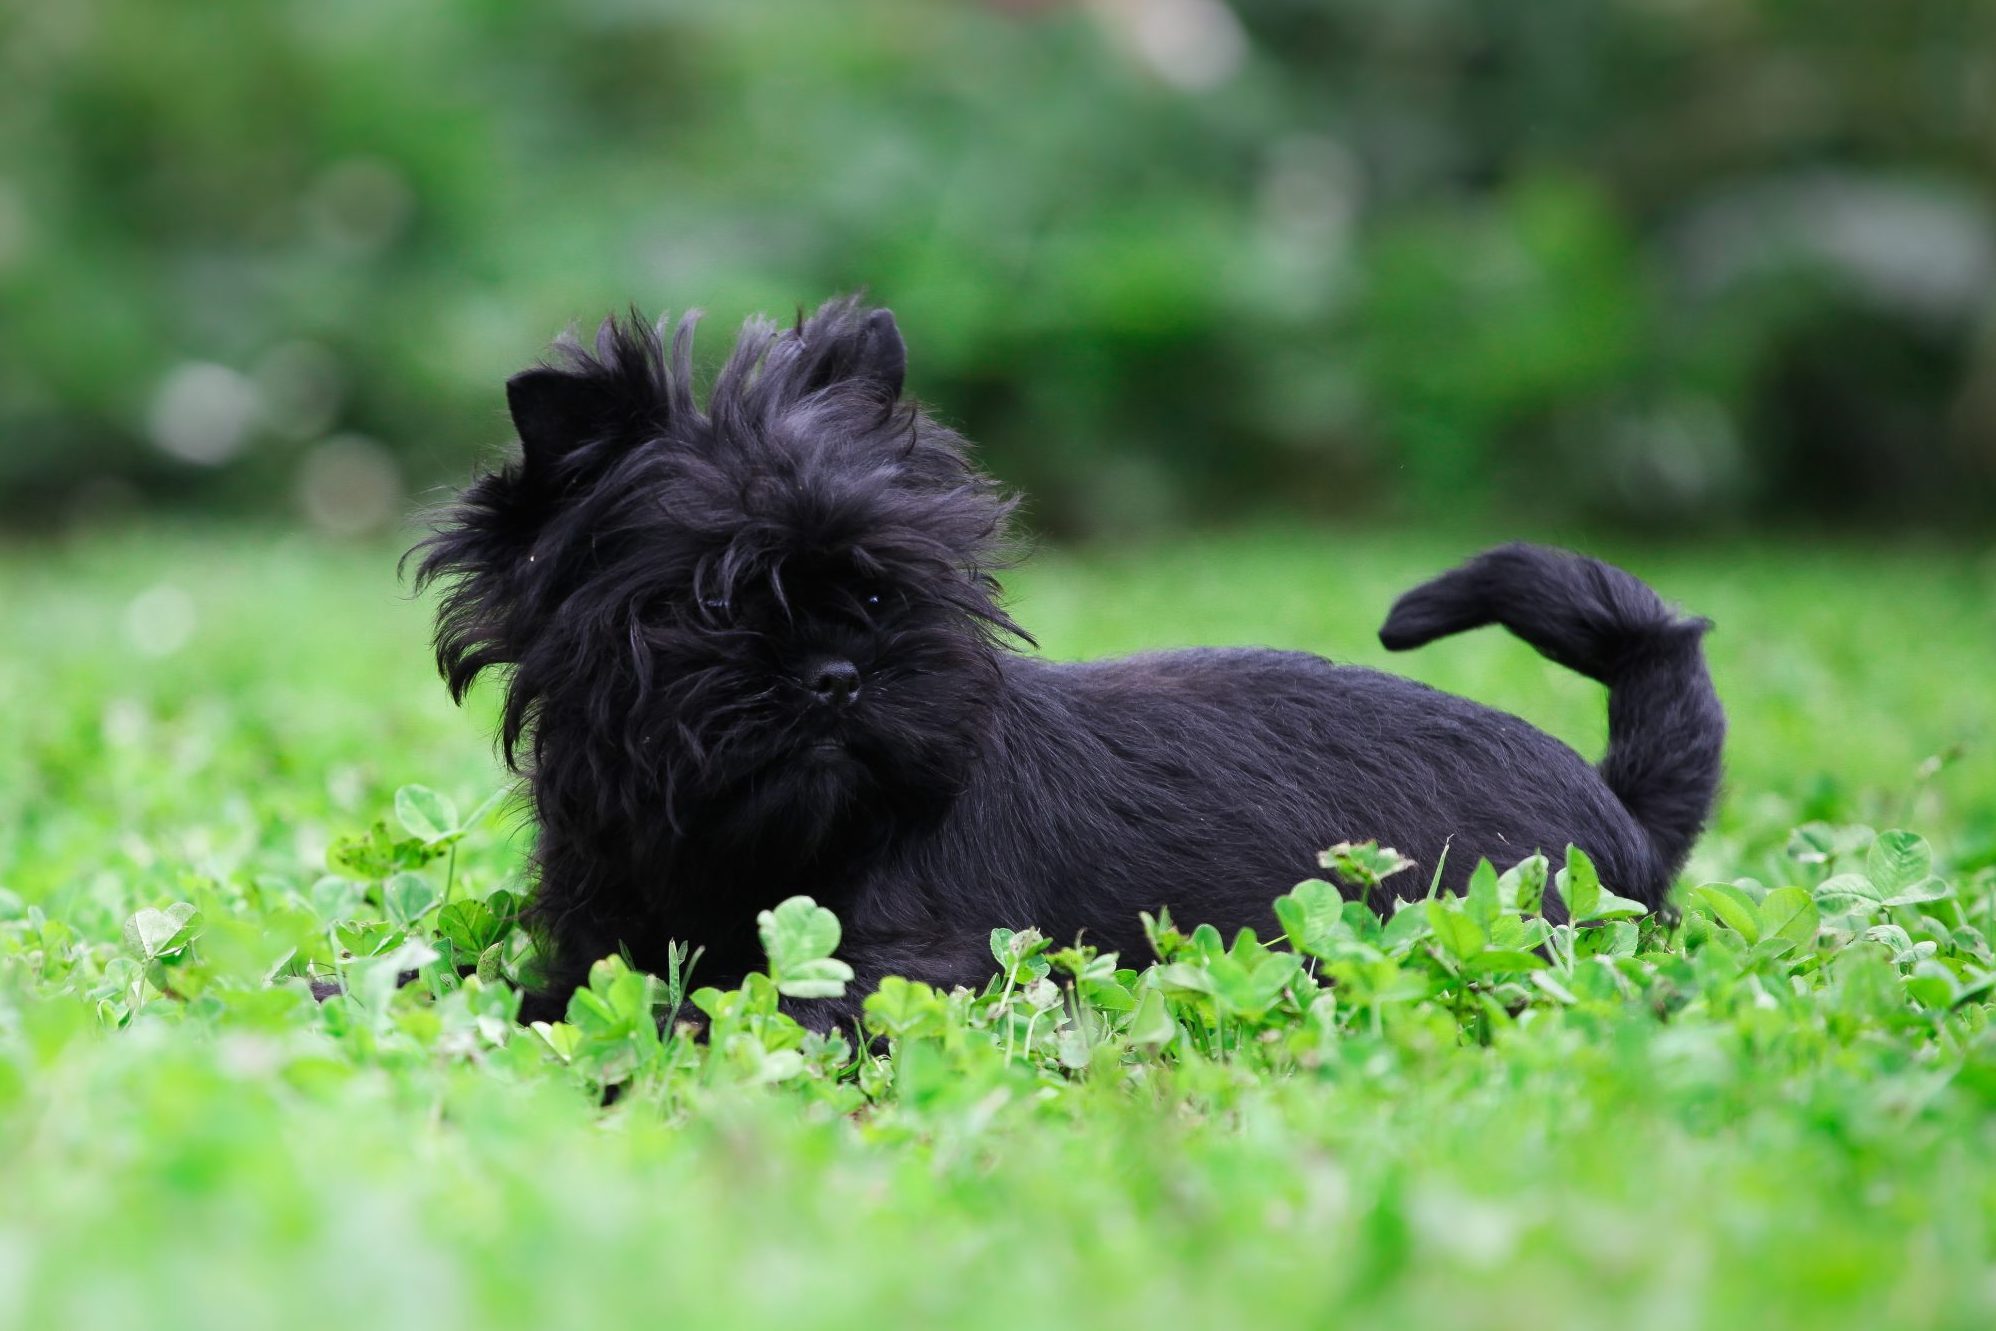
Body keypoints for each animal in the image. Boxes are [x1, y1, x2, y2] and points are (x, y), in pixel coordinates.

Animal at [413, 299, 1724, 1029]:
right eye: (708, 605)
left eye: (881, 593)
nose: (835, 673)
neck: (739, 850)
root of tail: (1621, 806)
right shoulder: (598, 945)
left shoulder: (911, 973)